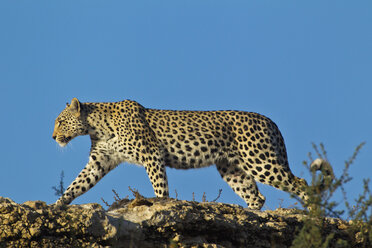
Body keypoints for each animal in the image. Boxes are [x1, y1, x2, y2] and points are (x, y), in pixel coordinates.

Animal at [51, 98, 328, 209]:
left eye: (60, 122)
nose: (53, 137)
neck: (96, 126)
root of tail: (271, 121)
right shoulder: (99, 162)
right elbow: (76, 185)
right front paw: (57, 205)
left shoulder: (152, 154)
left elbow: (159, 186)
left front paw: (161, 203)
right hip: (232, 169)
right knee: (257, 196)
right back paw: (249, 213)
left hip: (260, 161)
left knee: (300, 183)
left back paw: (311, 213)